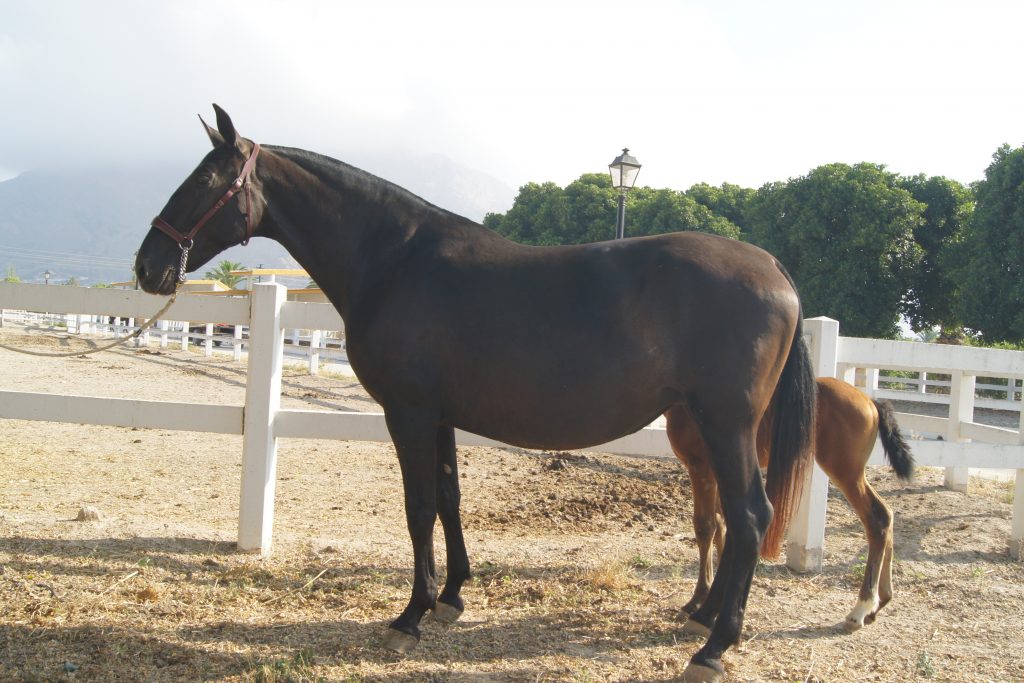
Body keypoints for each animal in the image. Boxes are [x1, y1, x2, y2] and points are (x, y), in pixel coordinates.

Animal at [133, 105, 816, 682]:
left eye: (205, 182)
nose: (148, 265)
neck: (395, 261)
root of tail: (774, 269)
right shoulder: (439, 417)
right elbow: (448, 499)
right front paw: (452, 597)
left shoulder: (408, 414)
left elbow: (418, 507)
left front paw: (409, 616)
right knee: (732, 516)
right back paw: (702, 619)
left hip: (724, 423)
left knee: (750, 516)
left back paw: (715, 646)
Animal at [666, 376, 914, 633]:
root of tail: (870, 402)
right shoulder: (718, 475)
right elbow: (721, 528)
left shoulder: (701, 469)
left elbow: (705, 528)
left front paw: (697, 600)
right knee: (887, 515)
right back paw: (879, 603)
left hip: (847, 474)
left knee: (877, 519)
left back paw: (860, 609)